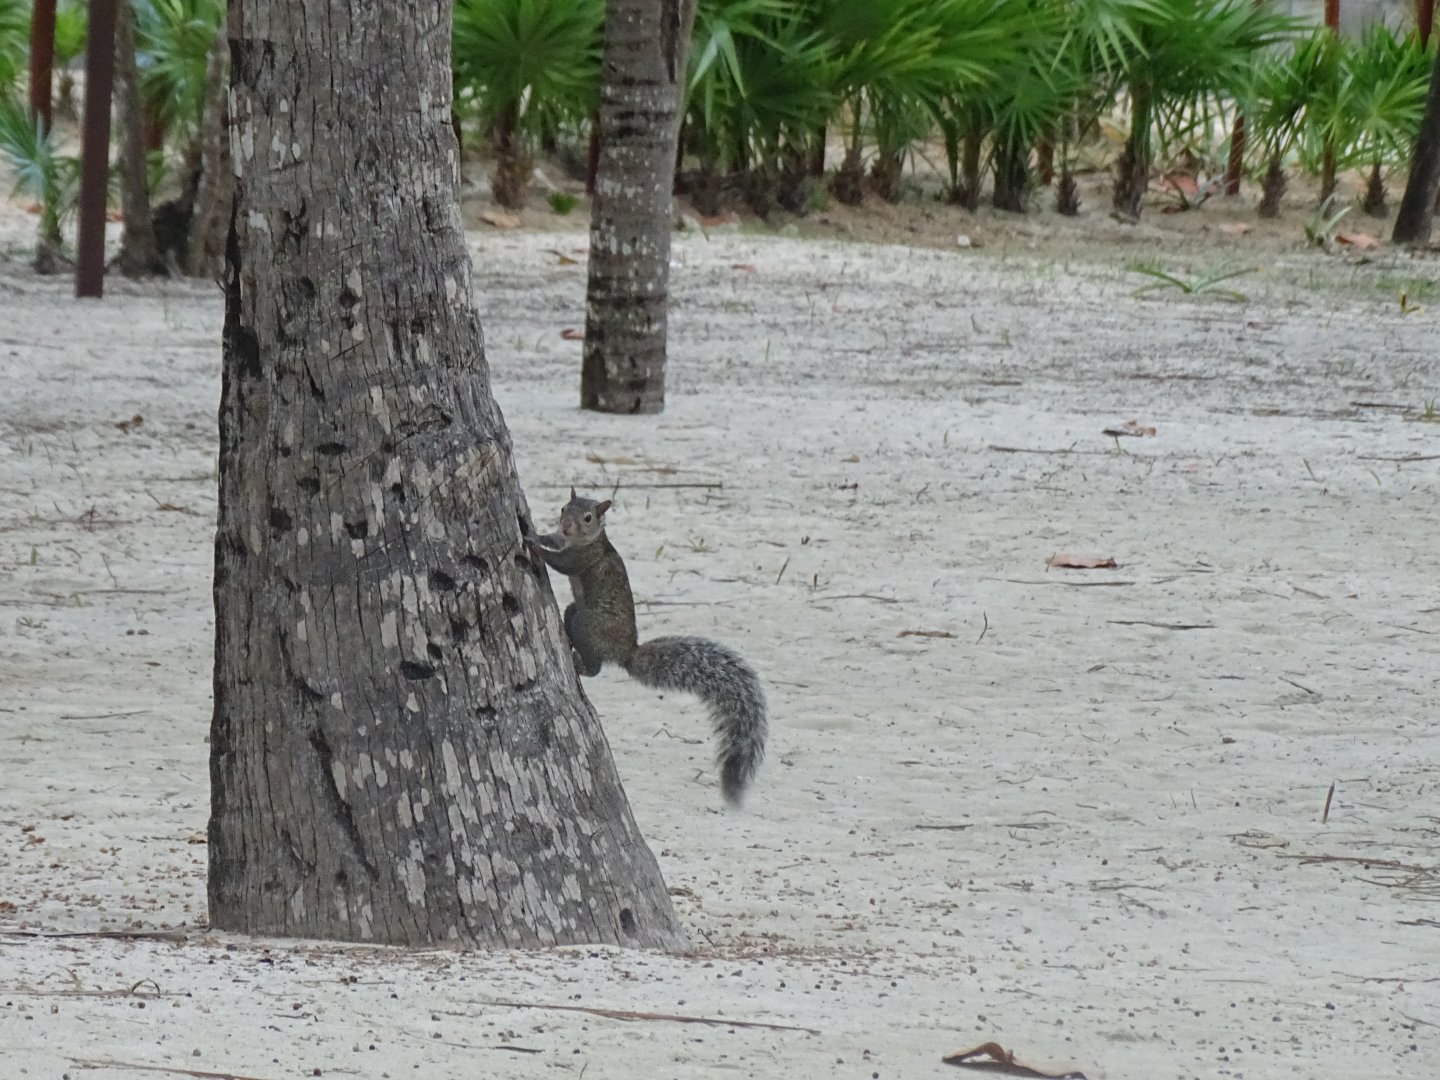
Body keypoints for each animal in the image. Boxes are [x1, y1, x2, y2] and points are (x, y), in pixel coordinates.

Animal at [525, 490, 768, 806]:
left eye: (588, 517)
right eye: (565, 508)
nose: (566, 525)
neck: (587, 540)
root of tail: (627, 651)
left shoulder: (583, 558)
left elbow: (561, 562)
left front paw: (533, 545)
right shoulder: (566, 542)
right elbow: (553, 541)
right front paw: (536, 533)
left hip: (587, 623)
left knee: (595, 666)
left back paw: (578, 662)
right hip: (574, 612)